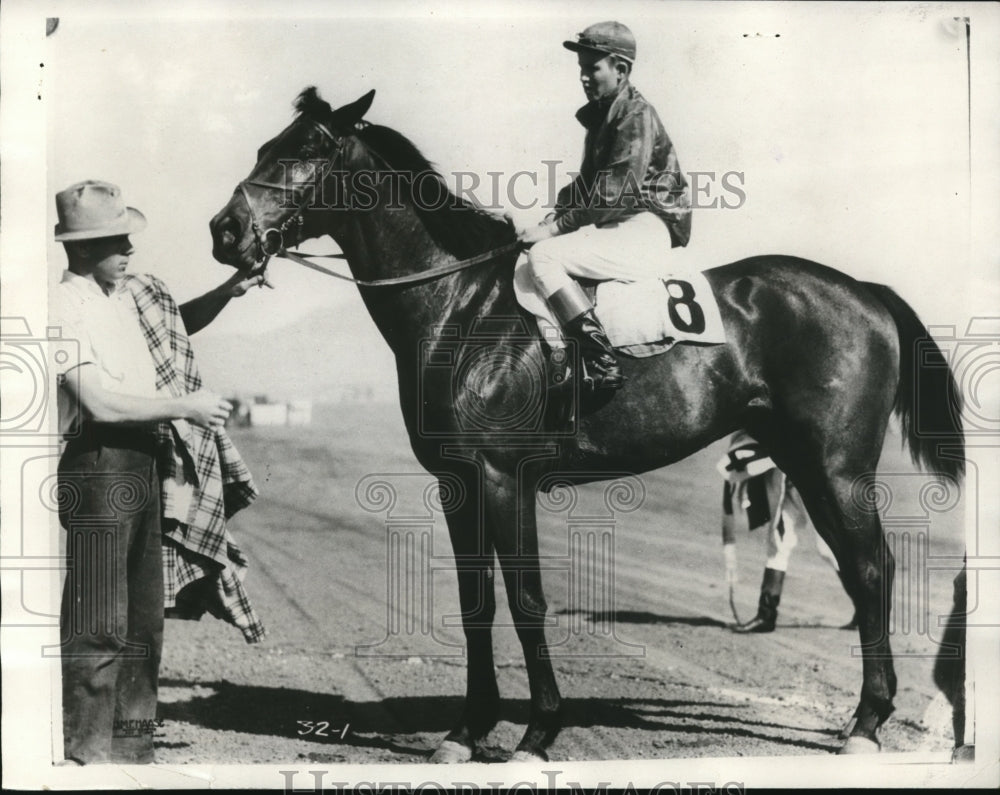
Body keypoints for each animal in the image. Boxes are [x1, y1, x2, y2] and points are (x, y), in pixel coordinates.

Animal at [207, 88, 964, 764]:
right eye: (265, 145)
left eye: (307, 150)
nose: (224, 231)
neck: (463, 307)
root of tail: (864, 291)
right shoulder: (458, 483)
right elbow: (476, 601)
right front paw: (466, 731)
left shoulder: (503, 479)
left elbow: (526, 599)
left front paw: (538, 732)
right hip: (805, 463)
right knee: (860, 571)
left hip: (837, 466)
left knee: (872, 567)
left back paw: (866, 723)